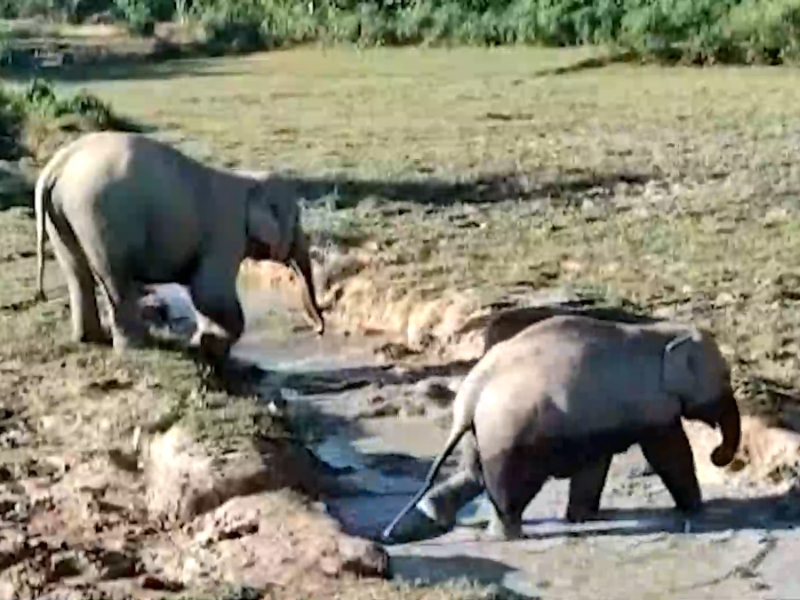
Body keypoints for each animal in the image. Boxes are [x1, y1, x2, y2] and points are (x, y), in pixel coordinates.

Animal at [32, 130, 324, 360]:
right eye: (298, 219)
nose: (319, 329)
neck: (248, 180)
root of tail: (56, 168)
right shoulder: (226, 232)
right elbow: (208, 293)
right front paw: (207, 347)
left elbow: (204, 295)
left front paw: (204, 344)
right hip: (98, 216)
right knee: (115, 278)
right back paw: (137, 348)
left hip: (62, 215)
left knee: (77, 272)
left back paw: (91, 339)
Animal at [382, 314, 744, 544]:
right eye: (725, 378)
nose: (716, 454)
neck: (660, 332)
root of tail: (469, 398)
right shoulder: (650, 403)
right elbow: (669, 452)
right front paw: (697, 508)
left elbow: (596, 464)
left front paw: (583, 517)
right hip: (513, 433)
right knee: (511, 485)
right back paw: (508, 536)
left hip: (480, 433)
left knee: (474, 473)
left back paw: (434, 513)